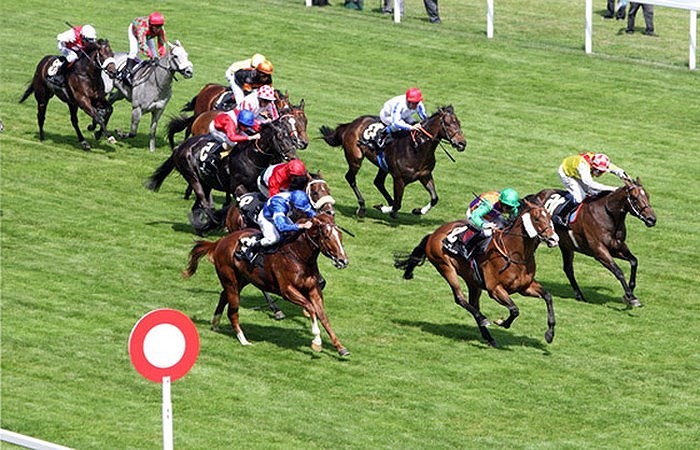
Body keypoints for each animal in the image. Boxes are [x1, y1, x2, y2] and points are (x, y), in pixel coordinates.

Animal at [145, 119, 298, 234]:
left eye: (290, 136)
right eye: (280, 137)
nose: (292, 156)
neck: (251, 157)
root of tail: (180, 147)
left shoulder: (258, 188)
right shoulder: (237, 187)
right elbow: (245, 202)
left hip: (206, 183)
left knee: (196, 206)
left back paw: (201, 228)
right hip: (193, 177)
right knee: (204, 203)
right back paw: (212, 221)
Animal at [180, 213, 350, 356]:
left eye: (340, 236)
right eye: (327, 237)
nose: (343, 261)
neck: (298, 255)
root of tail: (220, 241)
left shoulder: (313, 289)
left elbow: (323, 316)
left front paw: (340, 348)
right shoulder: (287, 291)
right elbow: (310, 308)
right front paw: (317, 341)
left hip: (242, 280)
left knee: (223, 295)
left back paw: (215, 324)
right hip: (231, 281)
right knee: (233, 312)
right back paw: (243, 340)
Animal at [320, 105, 468, 218]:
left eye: (459, 123)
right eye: (448, 123)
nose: (462, 143)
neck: (417, 147)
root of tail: (351, 124)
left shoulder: (425, 175)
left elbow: (434, 198)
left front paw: (418, 210)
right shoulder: (399, 179)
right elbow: (398, 204)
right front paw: (382, 208)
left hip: (383, 166)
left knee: (378, 182)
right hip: (355, 159)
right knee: (351, 178)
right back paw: (362, 207)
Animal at [396, 198, 560, 348]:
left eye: (550, 217)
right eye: (537, 218)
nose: (554, 239)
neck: (515, 254)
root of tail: (434, 234)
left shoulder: (525, 287)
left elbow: (548, 297)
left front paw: (550, 334)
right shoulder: (495, 289)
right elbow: (514, 310)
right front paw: (502, 322)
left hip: (472, 281)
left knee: (473, 303)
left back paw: (489, 337)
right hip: (445, 267)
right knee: (460, 298)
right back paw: (483, 319)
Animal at [536, 178, 656, 308]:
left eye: (647, 196)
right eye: (634, 198)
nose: (652, 219)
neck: (607, 214)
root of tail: (537, 194)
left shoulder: (617, 247)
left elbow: (634, 261)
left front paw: (630, 293)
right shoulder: (599, 251)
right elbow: (618, 271)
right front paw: (631, 296)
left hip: (566, 245)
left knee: (568, 269)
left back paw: (580, 296)